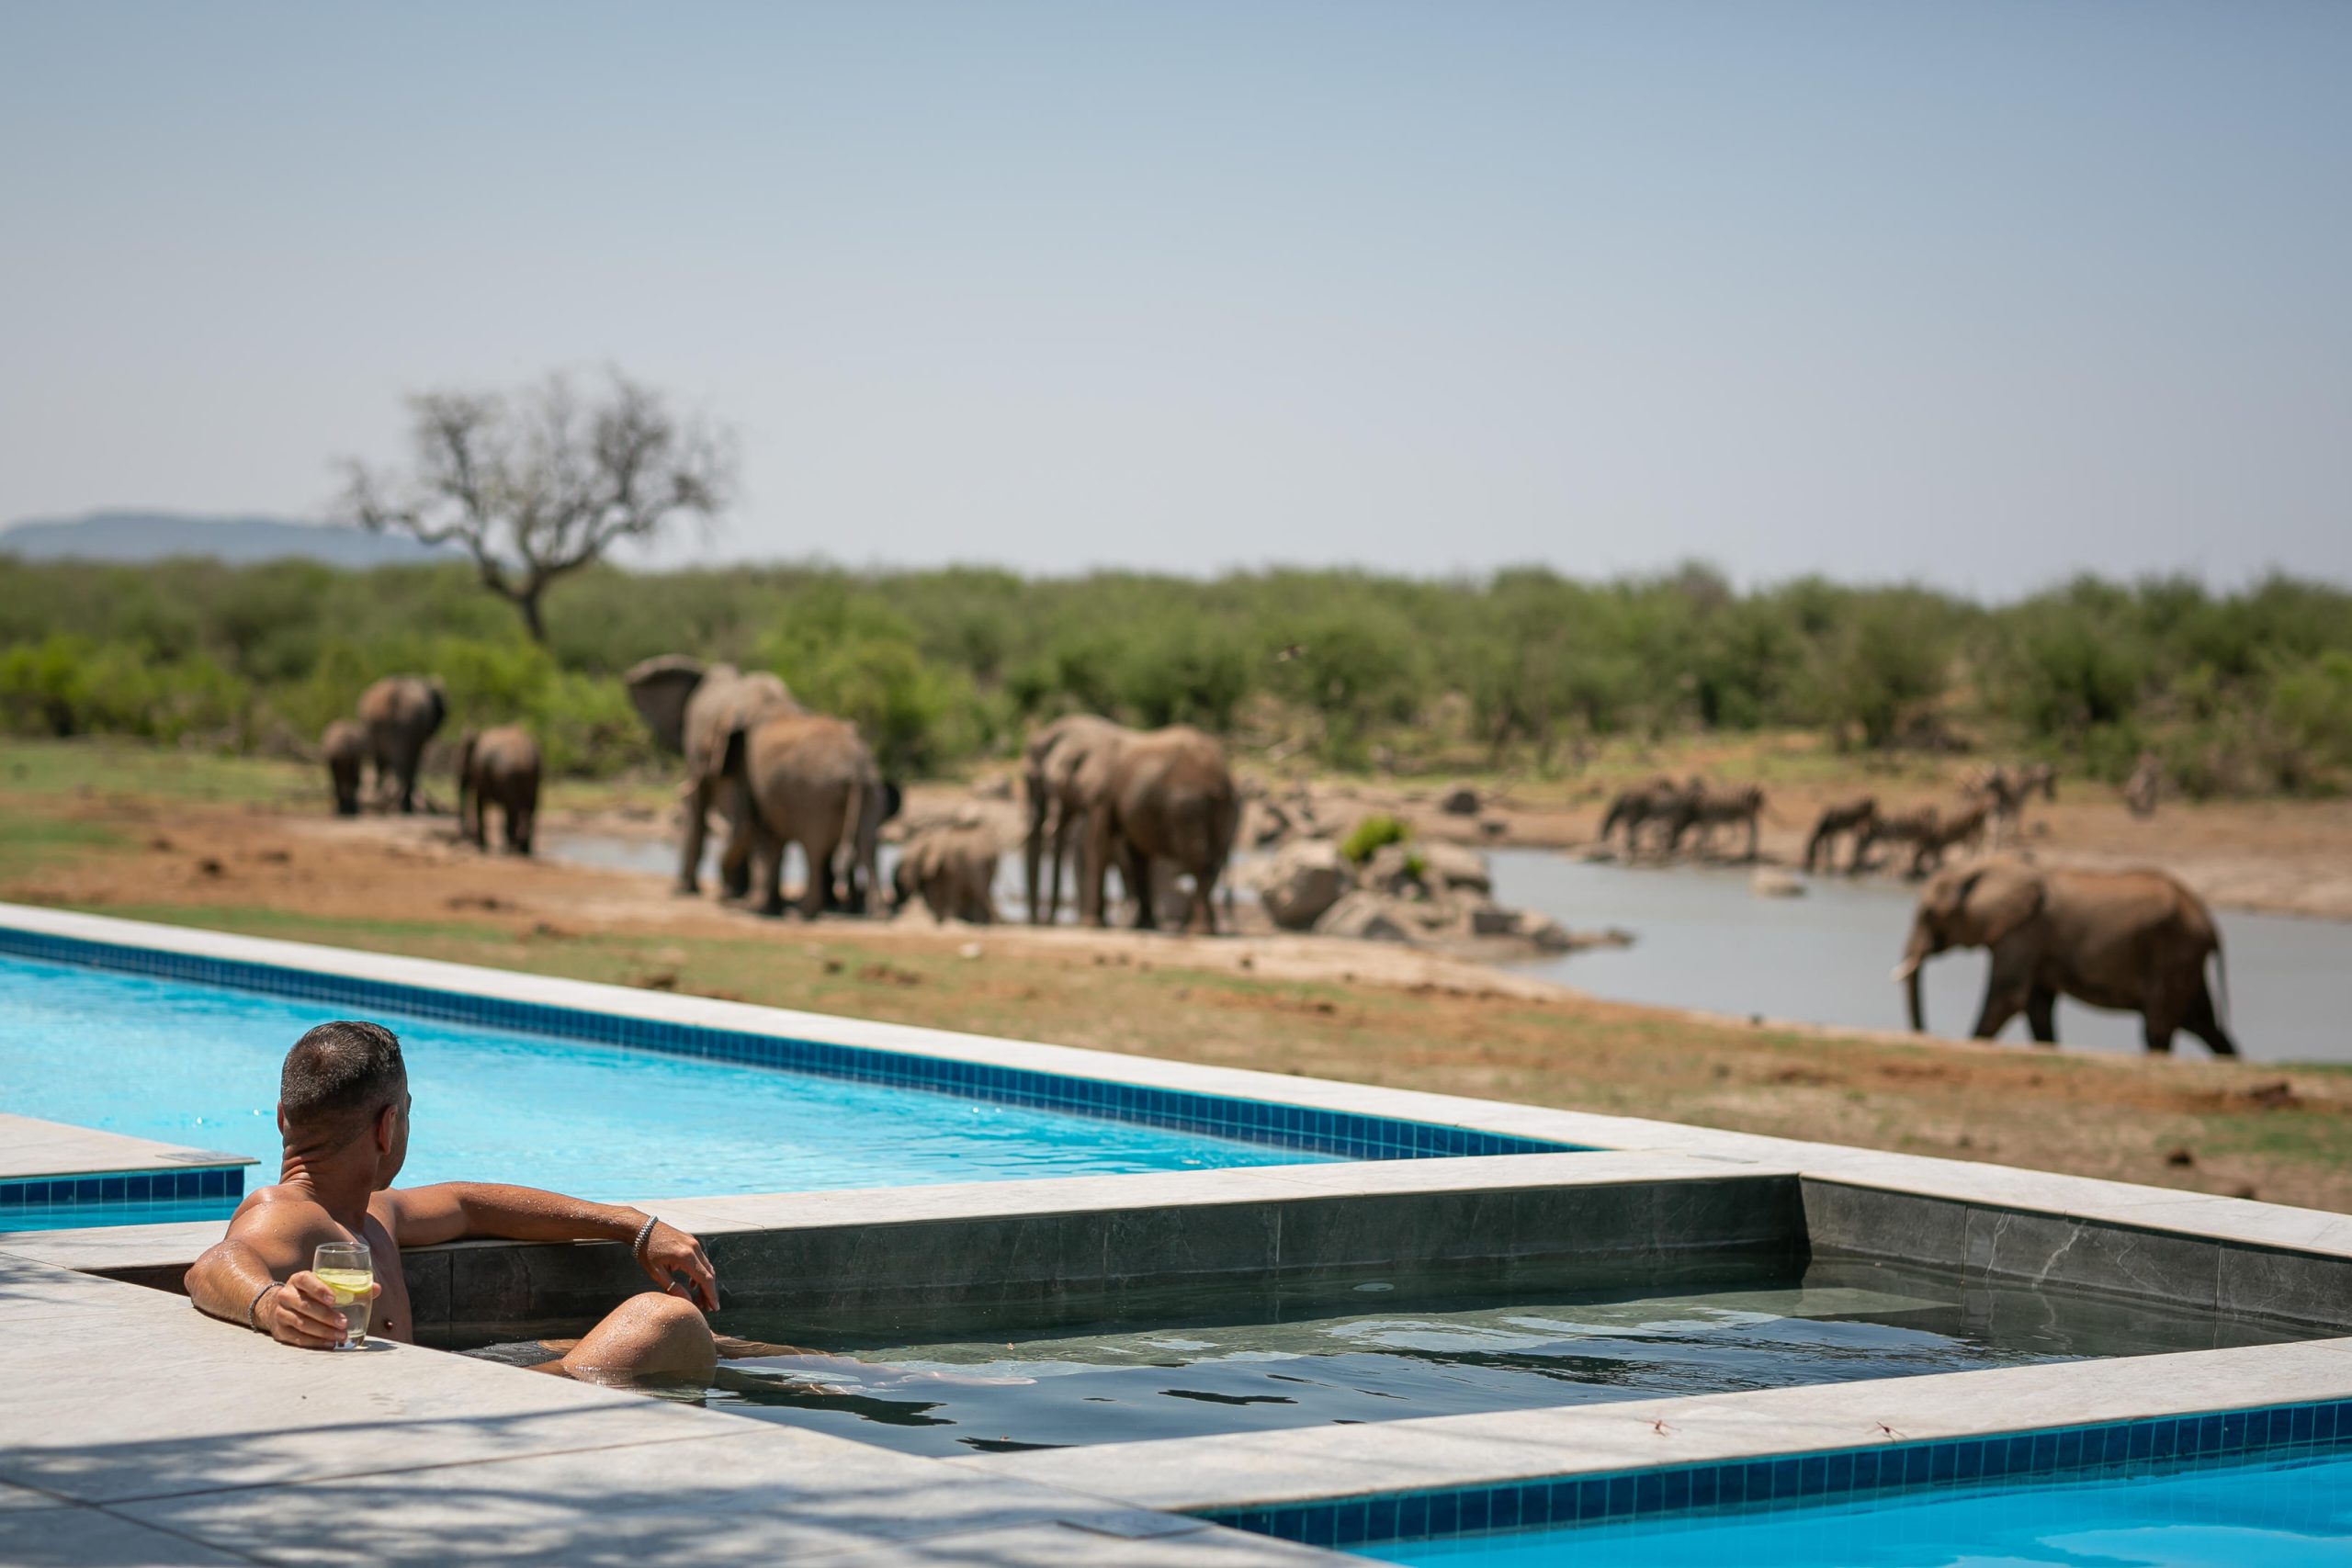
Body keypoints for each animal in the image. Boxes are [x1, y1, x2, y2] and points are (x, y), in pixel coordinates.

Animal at [356, 675, 447, 814]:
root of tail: (392, 698)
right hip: (407, 724)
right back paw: (402, 807)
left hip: (373, 725)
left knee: (380, 760)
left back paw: (382, 803)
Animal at [456, 725, 541, 854]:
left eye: (462, 758)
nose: (468, 839)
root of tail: (524, 758)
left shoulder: (479, 771)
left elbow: (480, 801)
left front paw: (482, 847)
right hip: (534, 775)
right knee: (530, 807)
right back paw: (524, 851)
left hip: (508, 773)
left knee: (512, 808)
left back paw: (510, 849)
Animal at [724, 710, 883, 920]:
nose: (724, 897)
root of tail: (855, 770)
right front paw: (770, 910)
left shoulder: (750, 779)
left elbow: (761, 834)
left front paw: (764, 911)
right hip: (869, 789)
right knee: (867, 845)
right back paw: (876, 913)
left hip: (818, 794)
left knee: (814, 849)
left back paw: (802, 914)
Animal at [1078, 725, 1239, 935]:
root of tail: (1221, 778)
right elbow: (1136, 856)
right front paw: (1144, 925)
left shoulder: (1104, 793)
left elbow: (1098, 844)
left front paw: (1091, 924)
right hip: (1221, 811)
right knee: (1213, 862)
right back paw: (1202, 928)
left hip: (1186, 807)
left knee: (1198, 861)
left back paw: (1198, 930)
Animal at [1894, 858, 2236, 1055]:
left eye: (1929, 914)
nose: (1925, 1034)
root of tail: (2211, 924)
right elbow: (2037, 1007)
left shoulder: (2024, 932)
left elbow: (2008, 998)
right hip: (2185, 958)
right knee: (2204, 1024)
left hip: (2172, 952)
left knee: (2159, 1026)